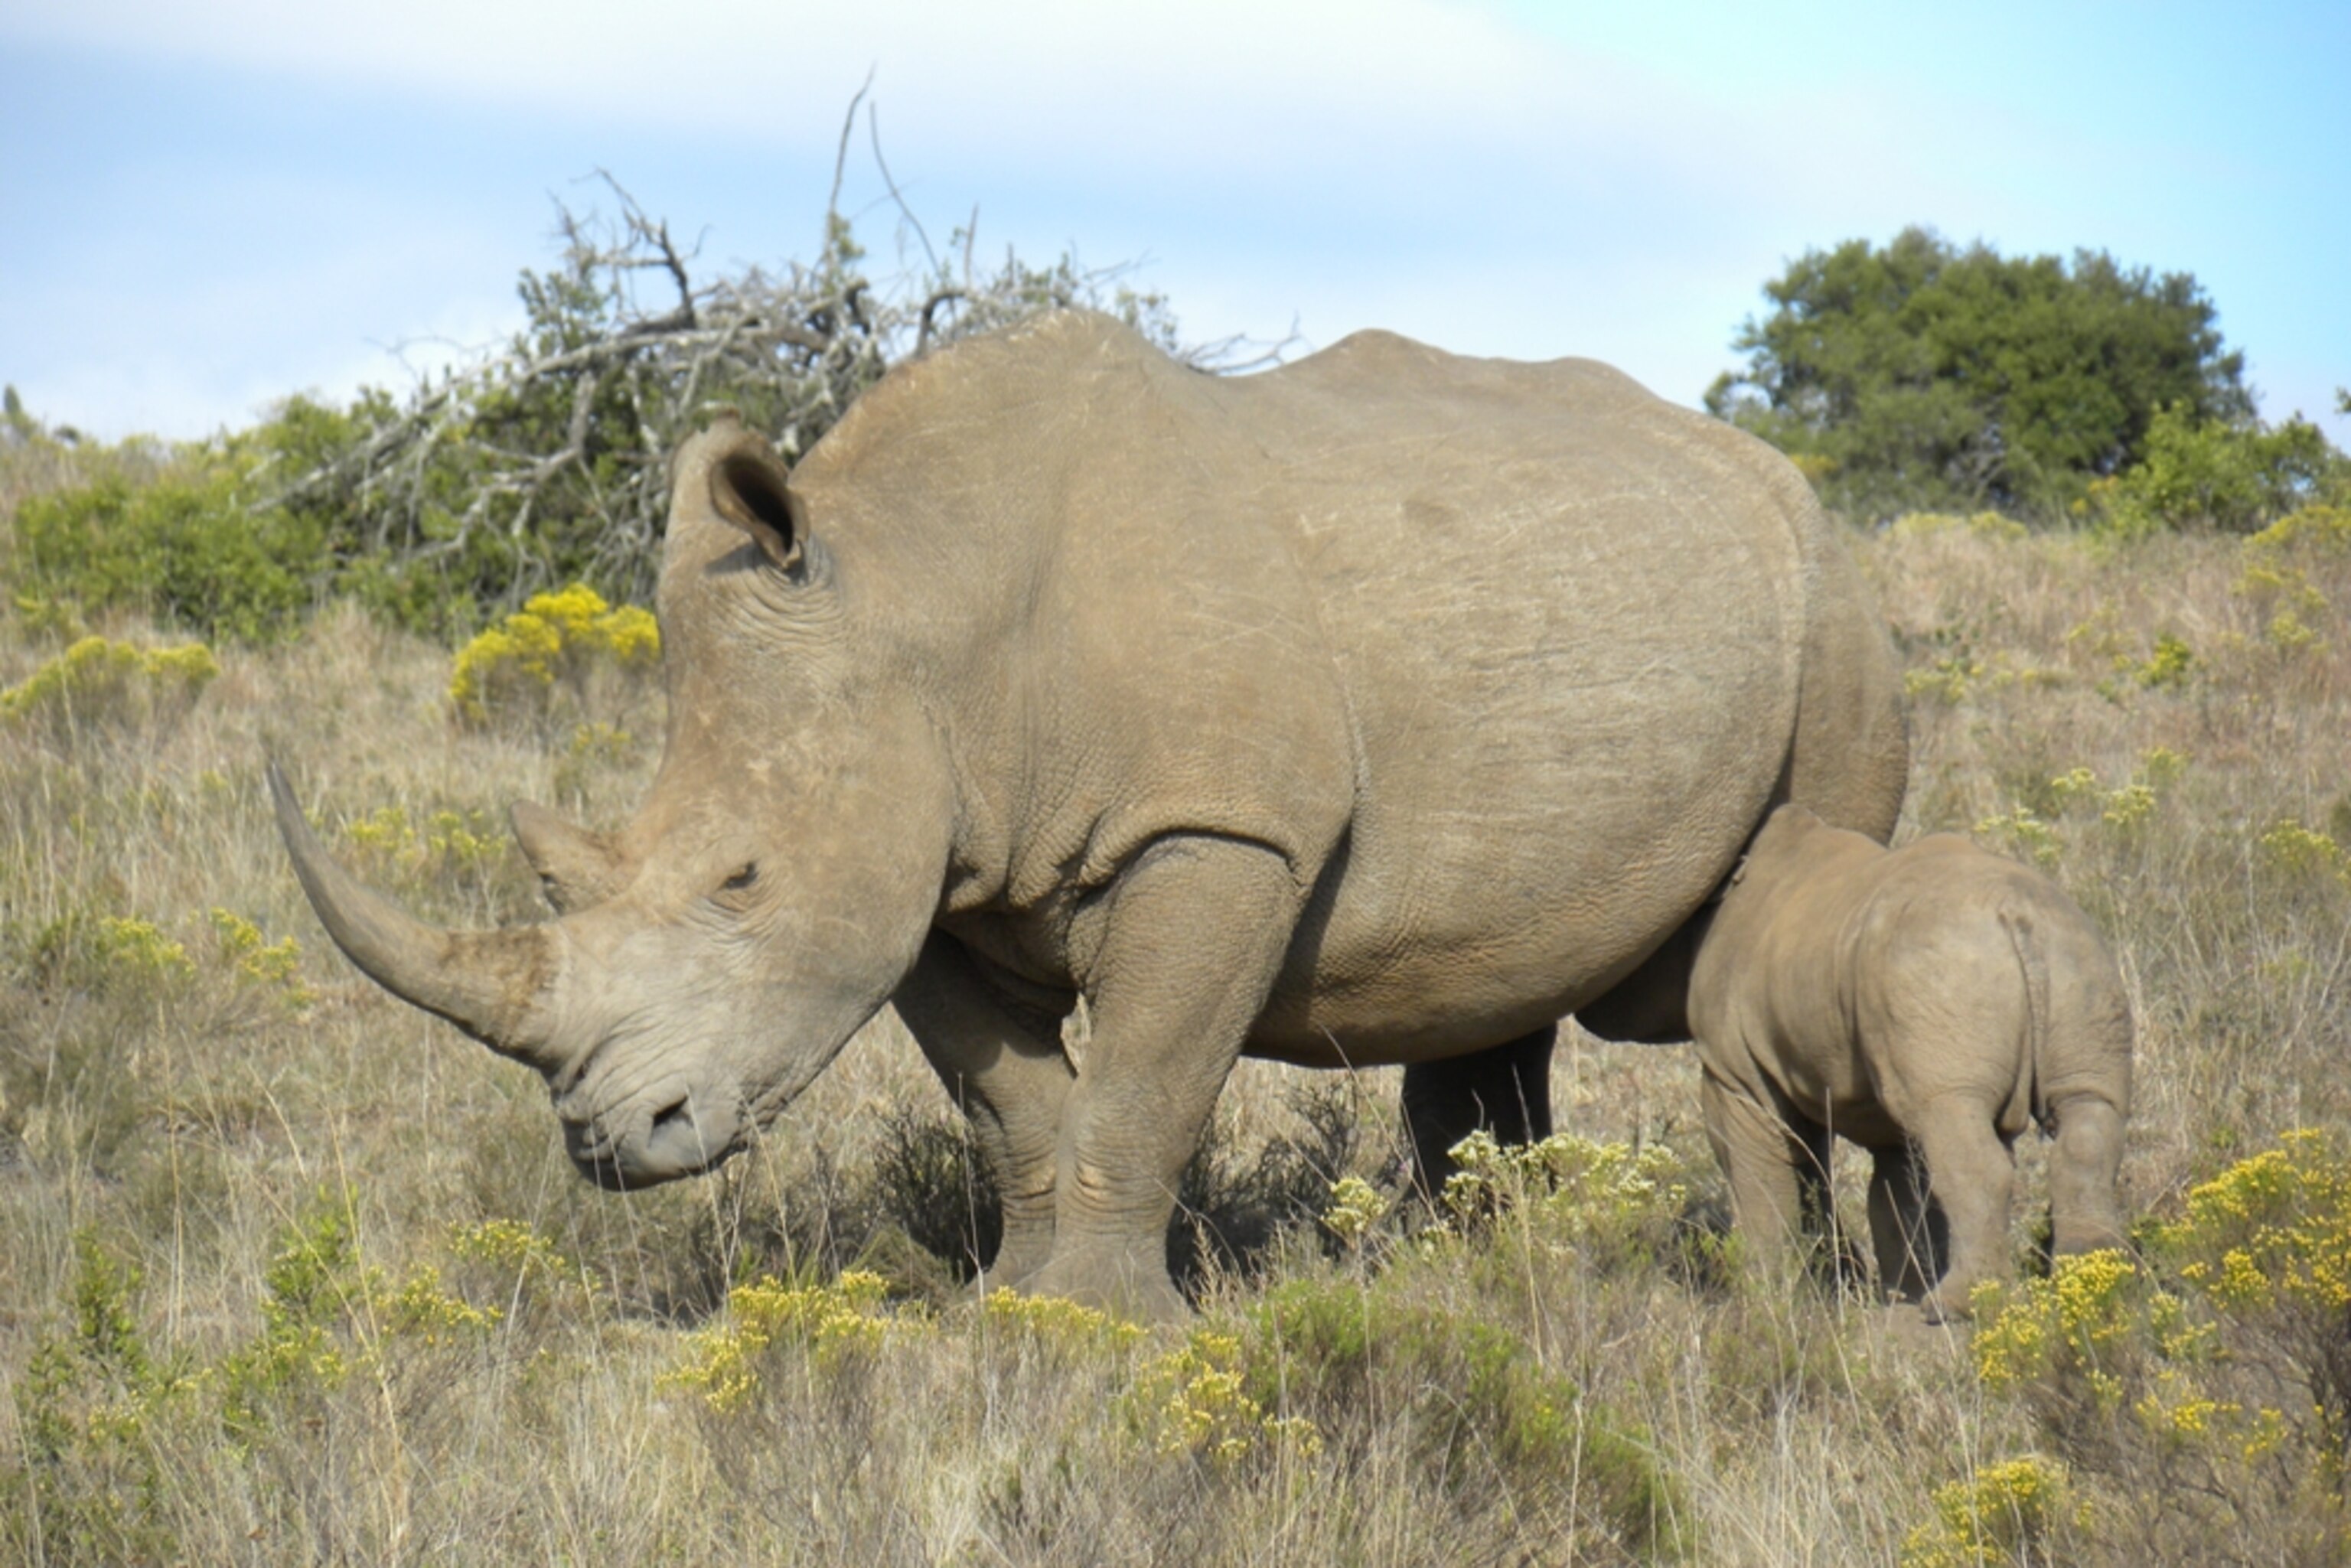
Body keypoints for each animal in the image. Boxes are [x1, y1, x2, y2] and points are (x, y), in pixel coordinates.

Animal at [272, 310, 1907, 1320]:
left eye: (740, 877)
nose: (612, 1138)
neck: (924, 603)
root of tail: (1779, 474)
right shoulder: (925, 865)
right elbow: (1015, 1099)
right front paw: (1012, 1309)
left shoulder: (1220, 827)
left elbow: (1146, 1077)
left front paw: (1105, 1332)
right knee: (1492, 976)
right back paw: (1487, 1264)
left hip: (1835, 614)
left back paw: (1829, 1289)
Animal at [1686, 805, 2133, 1319]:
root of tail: (2017, 917)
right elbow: (1899, 1190)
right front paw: (1901, 1292)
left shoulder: (1735, 1073)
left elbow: (1760, 1180)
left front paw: (1764, 1298)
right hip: (2076, 956)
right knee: (2087, 1110)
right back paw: (2096, 1282)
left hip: (1944, 970)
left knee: (1952, 1118)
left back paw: (1956, 1306)